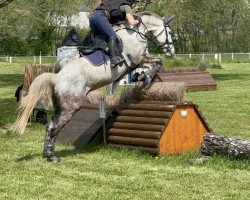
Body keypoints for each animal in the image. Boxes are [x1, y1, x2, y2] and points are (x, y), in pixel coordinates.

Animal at [12, 10, 175, 162]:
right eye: (170, 32)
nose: (171, 52)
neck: (135, 32)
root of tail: (57, 77)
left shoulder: (138, 61)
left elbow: (154, 64)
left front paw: (143, 76)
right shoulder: (138, 58)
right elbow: (159, 61)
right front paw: (146, 76)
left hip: (60, 108)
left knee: (50, 126)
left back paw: (48, 153)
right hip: (71, 108)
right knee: (54, 129)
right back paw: (52, 157)